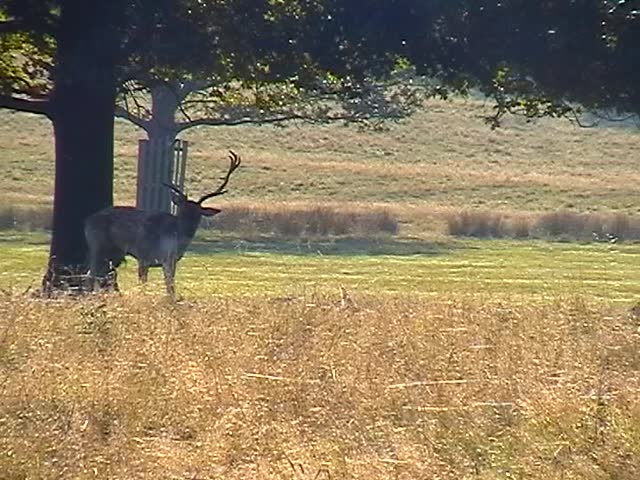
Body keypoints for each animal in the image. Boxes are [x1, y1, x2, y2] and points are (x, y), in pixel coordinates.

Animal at [84, 150, 241, 297]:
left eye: (198, 213)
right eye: (181, 210)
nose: (188, 227)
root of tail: (87, 221)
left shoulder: (171, 260)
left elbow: (170, 285)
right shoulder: (145, 255)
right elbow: (147, 283)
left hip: (113, 253)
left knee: (102, 274)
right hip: (98, 245)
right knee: (91, 273)